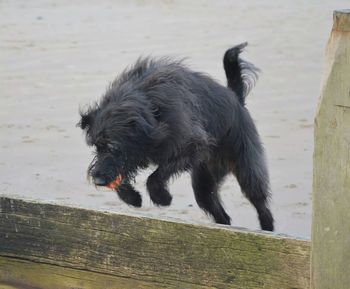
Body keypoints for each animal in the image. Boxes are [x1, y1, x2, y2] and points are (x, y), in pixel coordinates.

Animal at [78, 42, 274, 231]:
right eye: (96, 146)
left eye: (113, 146)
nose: (98, 179)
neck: (151, 108)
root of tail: (236, 98)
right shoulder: (133, 154)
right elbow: (124, 171)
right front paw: (131, 197)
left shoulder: (191, 145)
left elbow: (157, 174)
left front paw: (161, 197)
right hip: (204, 181)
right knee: (218, 210)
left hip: (246, 167)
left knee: (260, 203)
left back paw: (267, 229)